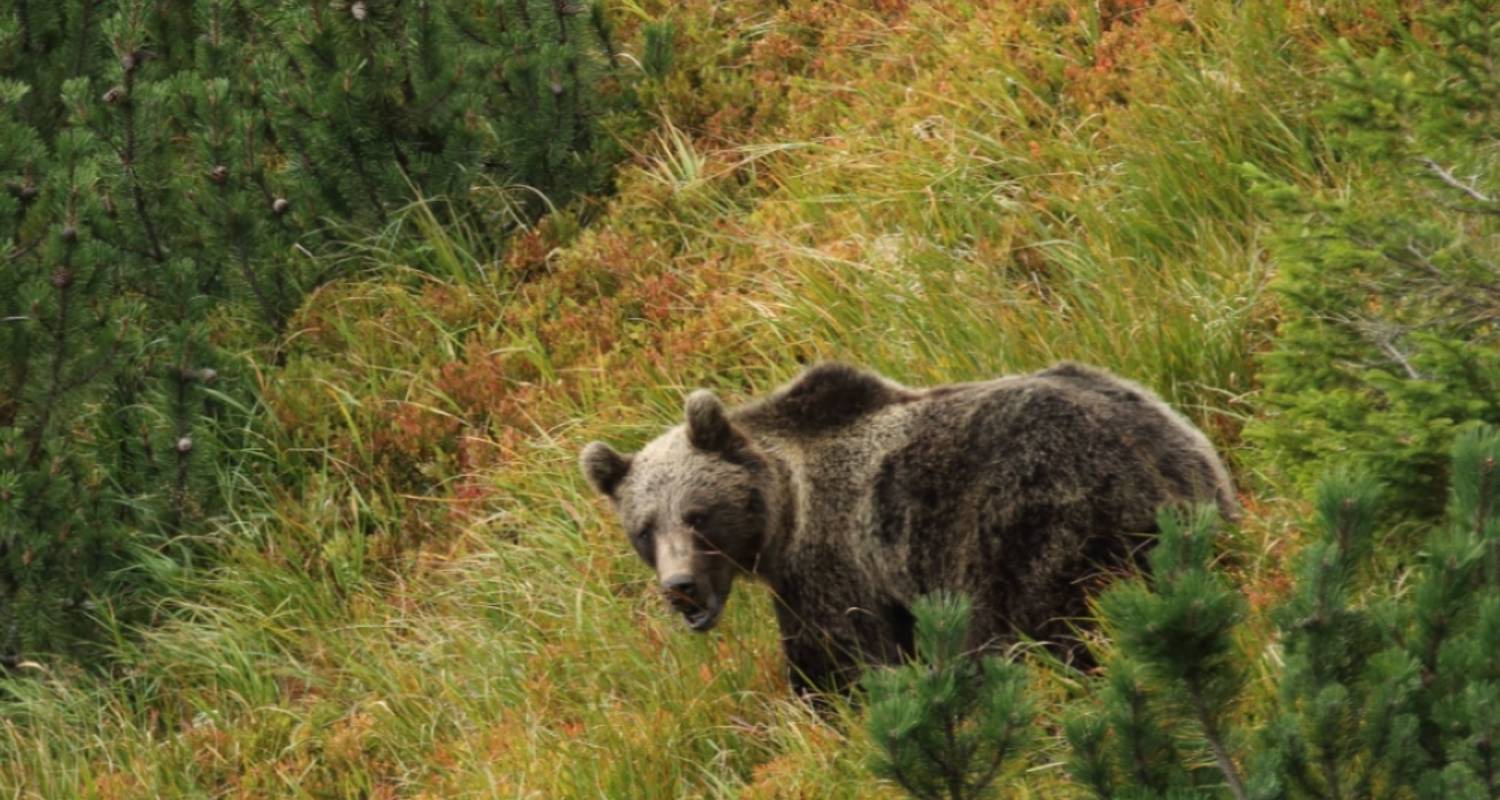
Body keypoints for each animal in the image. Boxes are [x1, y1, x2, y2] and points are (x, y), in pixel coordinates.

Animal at [580, 362, 1237, 695]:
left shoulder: (831, 559)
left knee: (1017, 627)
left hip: (1029, 516)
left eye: (698, 515)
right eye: (644, 530)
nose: (681, 587)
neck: (785, 511)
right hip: (1201, 489)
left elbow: (841, 657)